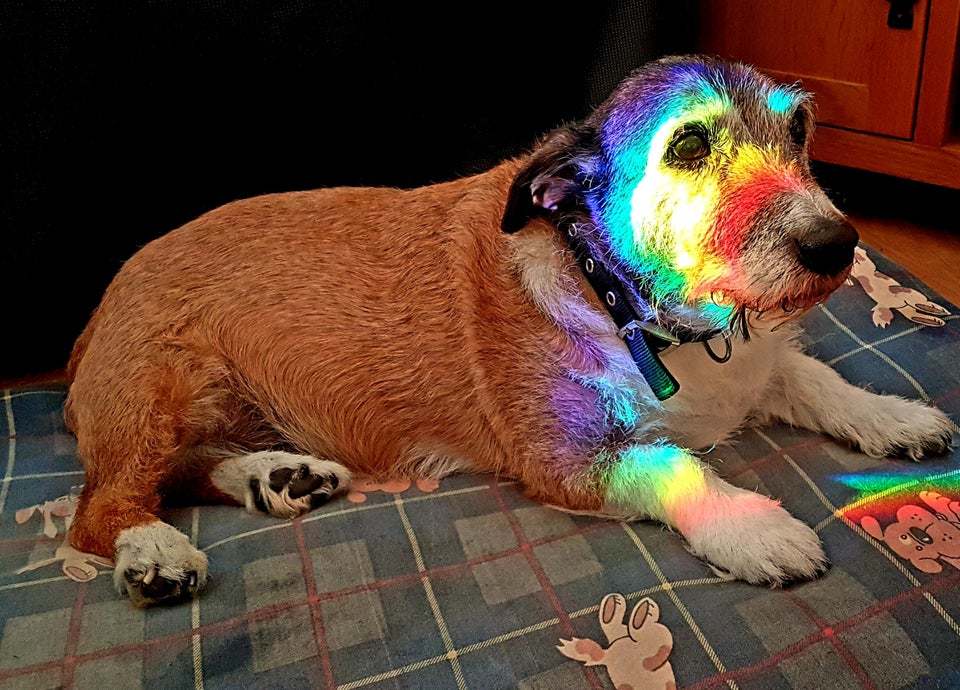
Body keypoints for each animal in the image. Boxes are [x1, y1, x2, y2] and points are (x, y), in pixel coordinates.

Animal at [65, 56, 952, 604]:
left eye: (798, 128)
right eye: (690, 144)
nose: (837, 246)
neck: (631, 303)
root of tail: (96, 313)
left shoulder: (758, 366)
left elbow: (820, 380)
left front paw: (896, 416)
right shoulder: (564, 459)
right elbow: (674, 464)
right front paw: (754, 526)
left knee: (184, 471)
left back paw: (276, 477)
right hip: (157, 389)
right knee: (100, 505)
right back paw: (151, 551)